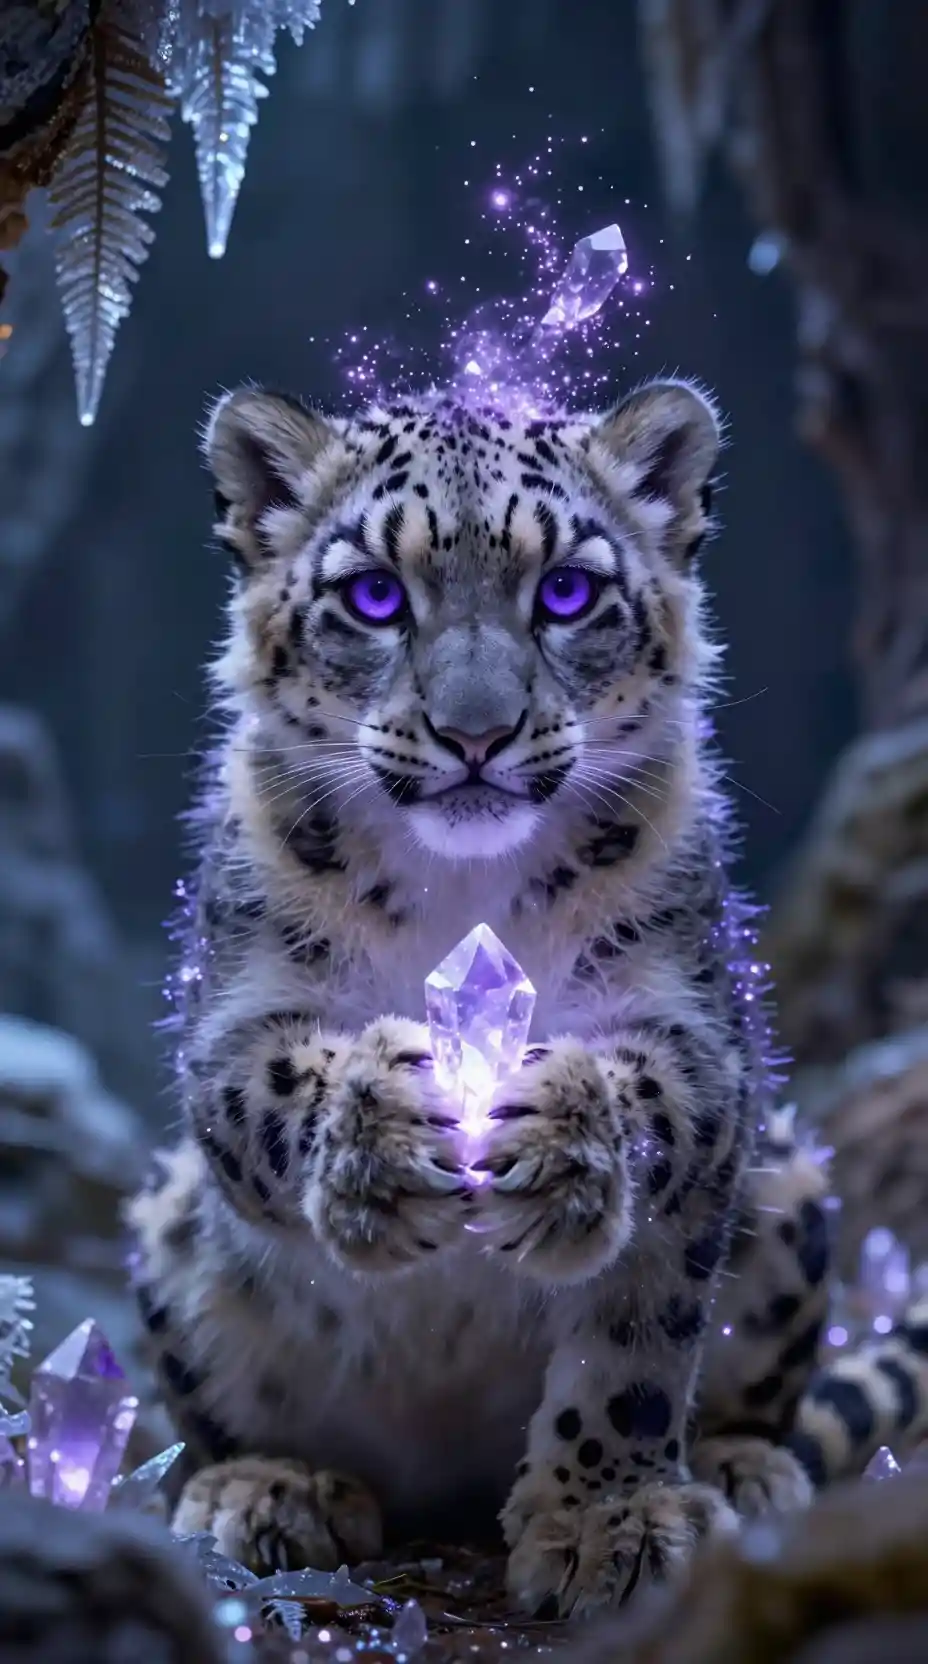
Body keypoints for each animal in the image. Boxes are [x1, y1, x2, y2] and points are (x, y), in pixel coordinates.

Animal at [126, 379, 928, 1619]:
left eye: (566, 590)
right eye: (373, 594)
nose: (474, 731)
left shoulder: (693, 1024)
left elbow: (635, 1337)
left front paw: (608, 1522)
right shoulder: (235, 1014)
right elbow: (273, 1084)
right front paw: (379, 1137)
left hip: (792, 1185)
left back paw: (740, 1471)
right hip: (172, 1230)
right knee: (214, 1411)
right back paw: (269, 1488)